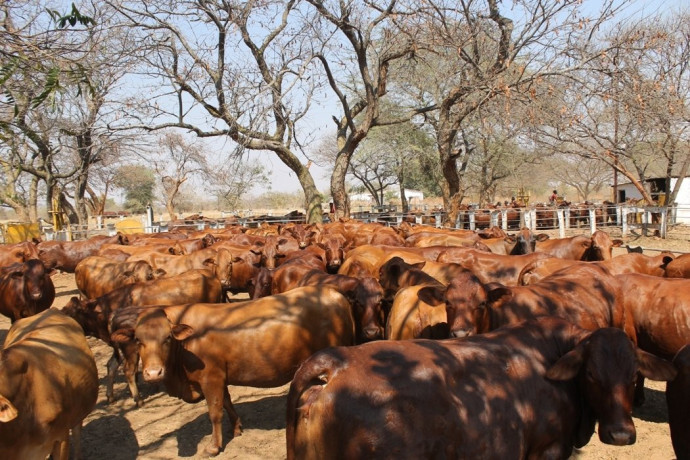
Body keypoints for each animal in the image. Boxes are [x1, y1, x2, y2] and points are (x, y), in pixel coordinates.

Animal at [110, 285, 356, 456]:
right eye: (138, 340)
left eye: (167, 338)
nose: (153, 373)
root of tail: (334, 294)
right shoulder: (220, 378)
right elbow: (227, 403)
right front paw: (236, 428)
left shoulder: (211, 378)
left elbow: (215, 412)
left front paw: (213, 446)